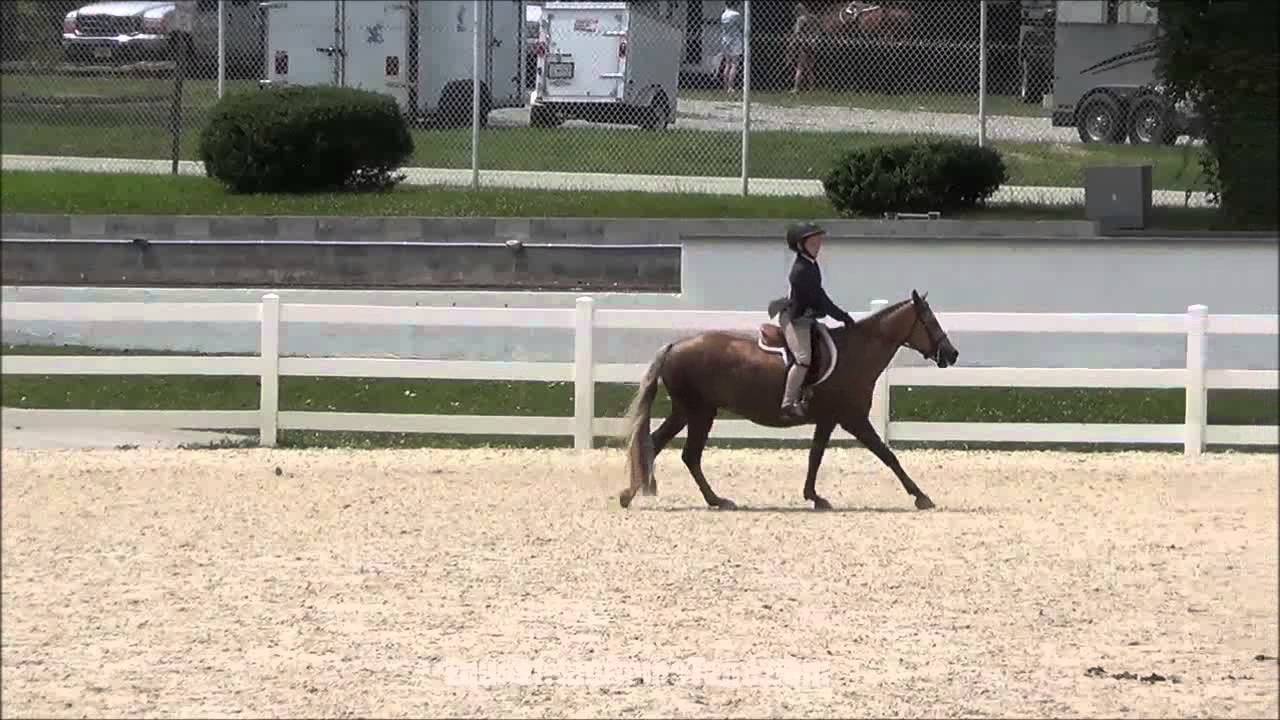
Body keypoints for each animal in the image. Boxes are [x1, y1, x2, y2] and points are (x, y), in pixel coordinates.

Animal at [617, 290, 959, 511]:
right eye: (929, 321)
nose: (952, 354)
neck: (857, 353)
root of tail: (674, 346)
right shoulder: (853, 419)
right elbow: (888, 456)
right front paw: (921, 496)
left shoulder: (828, 419)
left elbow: (815, 456)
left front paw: (814, 497)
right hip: (699, 412)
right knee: (688, 455)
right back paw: (715, 500)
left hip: (687, 412)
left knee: (655, 444)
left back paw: (631, 493)